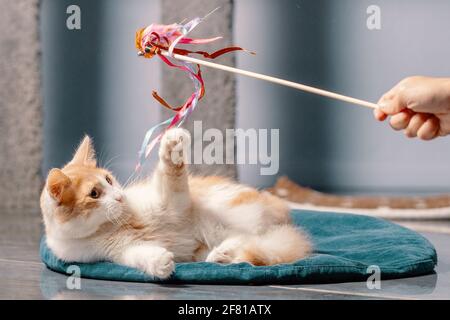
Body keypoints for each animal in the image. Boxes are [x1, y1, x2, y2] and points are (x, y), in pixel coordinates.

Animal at [40, 129, 312, 278]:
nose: (119, 196)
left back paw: (226, 253)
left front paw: (172, 146)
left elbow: (171, 176)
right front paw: (159, 263)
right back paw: (222, 255)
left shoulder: (172, 203)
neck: (111, 226)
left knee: (256, 239)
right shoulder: (114, 252)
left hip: (224, 216)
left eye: (108, 179)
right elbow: (137, 255)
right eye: (95, 194)